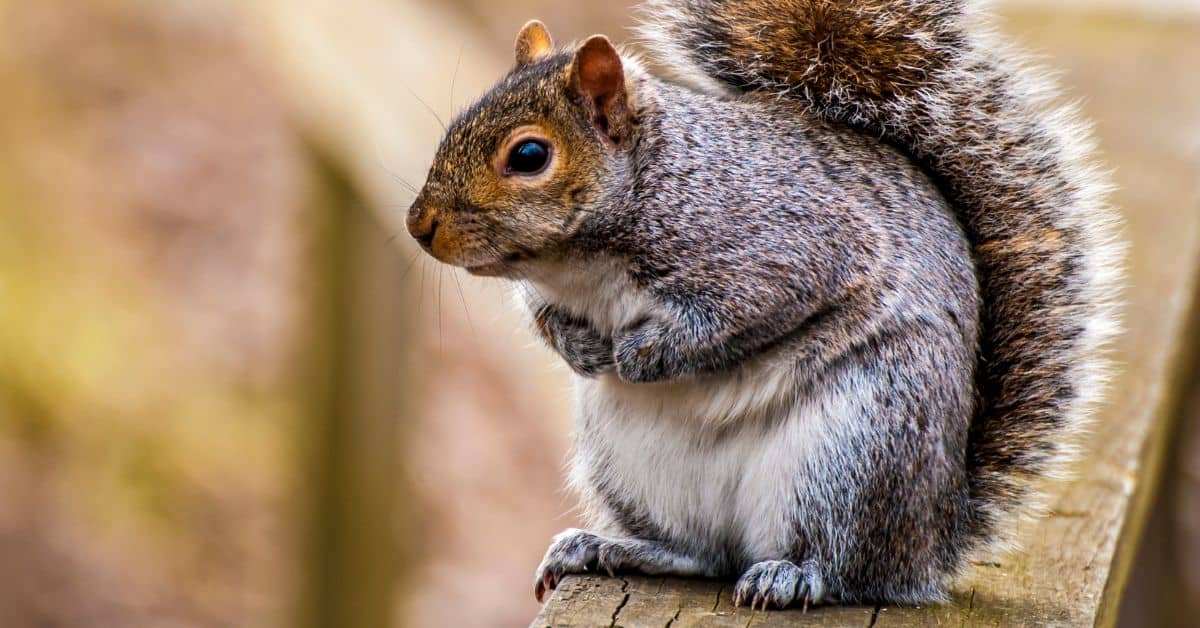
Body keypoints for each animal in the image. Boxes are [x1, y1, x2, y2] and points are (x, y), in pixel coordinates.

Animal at [406, 0, 1122, 608]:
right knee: (701, 554)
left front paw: (642, 354)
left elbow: (735, 316)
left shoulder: (787, 248)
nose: (419, 225)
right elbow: (547, 320)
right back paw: (608, 547)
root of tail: (931, 540)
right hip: (631, 464)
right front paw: (581, 348)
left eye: (529, 155)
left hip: (857, 447)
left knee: (846, 567)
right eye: (456, 123)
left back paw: (792, 574)